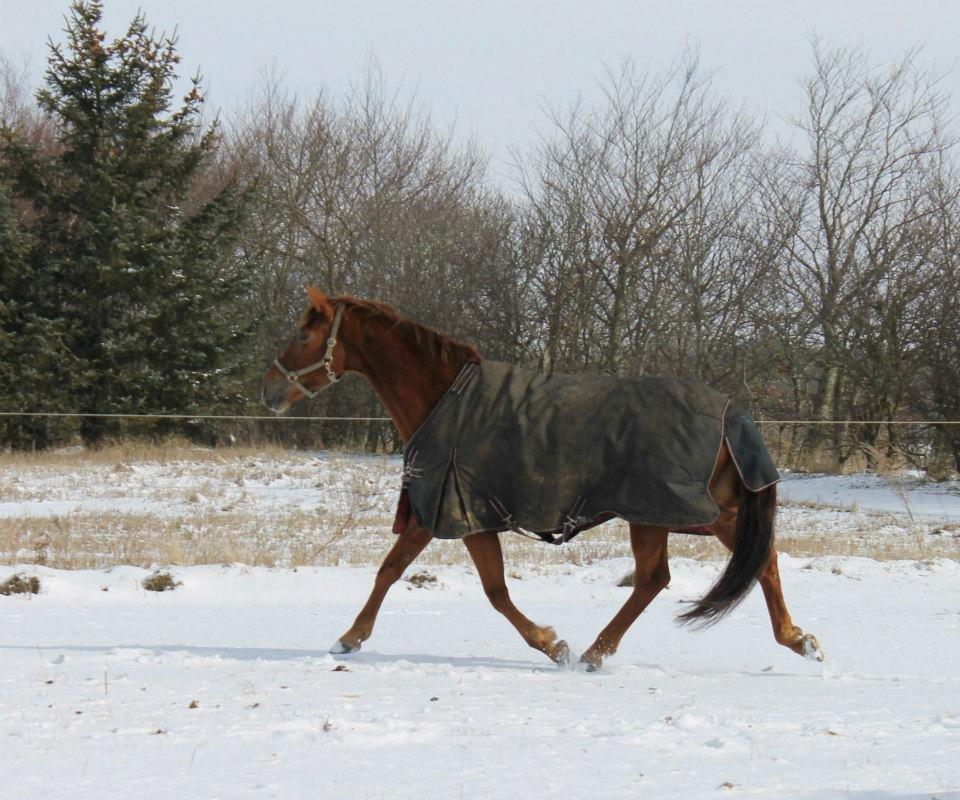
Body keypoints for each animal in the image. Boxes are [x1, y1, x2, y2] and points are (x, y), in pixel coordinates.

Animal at [262, 288, 824, 668]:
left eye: (304, 333)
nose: (268, 389)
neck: (446, 400)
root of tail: (733, 414)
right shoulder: (451, 516)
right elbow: (404, 573)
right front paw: (351, 637)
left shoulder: (457, 514)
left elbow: (478, 589)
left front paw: (552, 645)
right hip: (688, 515)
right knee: (736, 566)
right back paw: (794, 640)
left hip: (663, 514)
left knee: (677, 575)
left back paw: (599, 652)